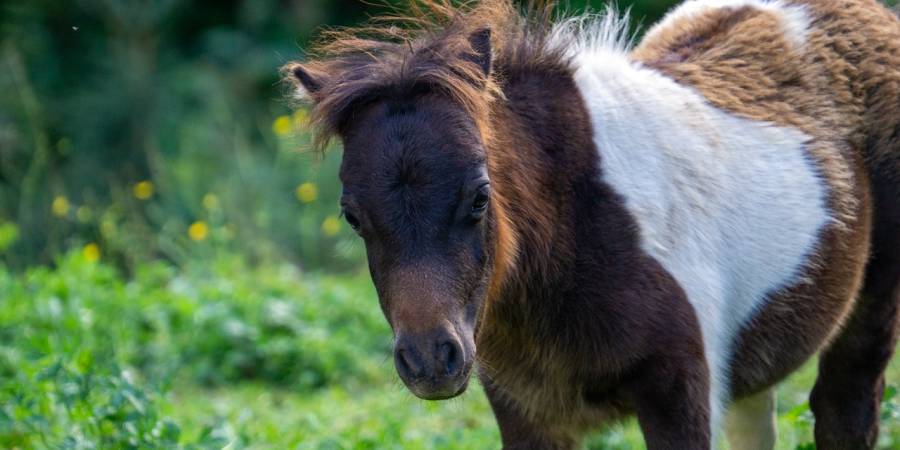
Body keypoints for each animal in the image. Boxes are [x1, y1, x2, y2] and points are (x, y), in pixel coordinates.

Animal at [284, 1, 900, 448]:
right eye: (352, 215)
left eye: (480, 198)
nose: (432, 362)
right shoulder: (525, 411)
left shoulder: (682, 394)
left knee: (845, 409)